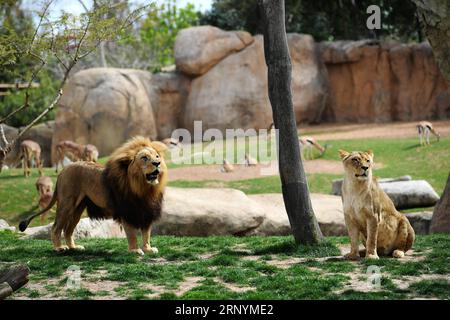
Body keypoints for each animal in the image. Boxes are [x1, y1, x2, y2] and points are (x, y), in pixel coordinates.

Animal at [20, 136, 168, 255]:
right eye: (144, 158)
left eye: (157, 156)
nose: (157, 163)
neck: (144, 188)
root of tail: (63, 171)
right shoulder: (127, 211)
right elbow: (131, 234)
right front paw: (135, 250)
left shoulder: (147, 210)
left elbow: (146, 233)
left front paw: (148, 249)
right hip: (67, 204)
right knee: (56, 227)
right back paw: (58, 248)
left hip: (77, 209)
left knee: (68, 229)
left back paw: (74, 247)